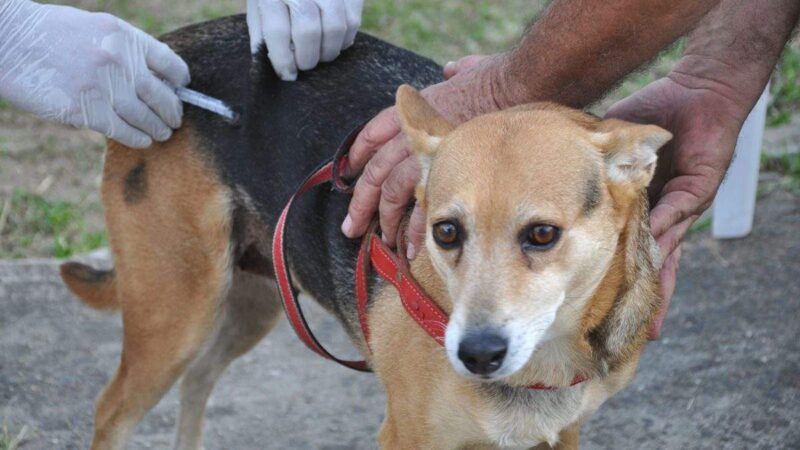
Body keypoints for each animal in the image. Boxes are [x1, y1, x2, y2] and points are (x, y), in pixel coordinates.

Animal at [59, 14, 664, 450]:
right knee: (111, 410)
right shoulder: (407, 437)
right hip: (179, 311)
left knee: (198, 381)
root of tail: (175, 53)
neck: (549, 357)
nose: (475, 355)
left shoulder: (561, 434)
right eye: (445, 232)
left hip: (253, 299)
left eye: (542, 234)